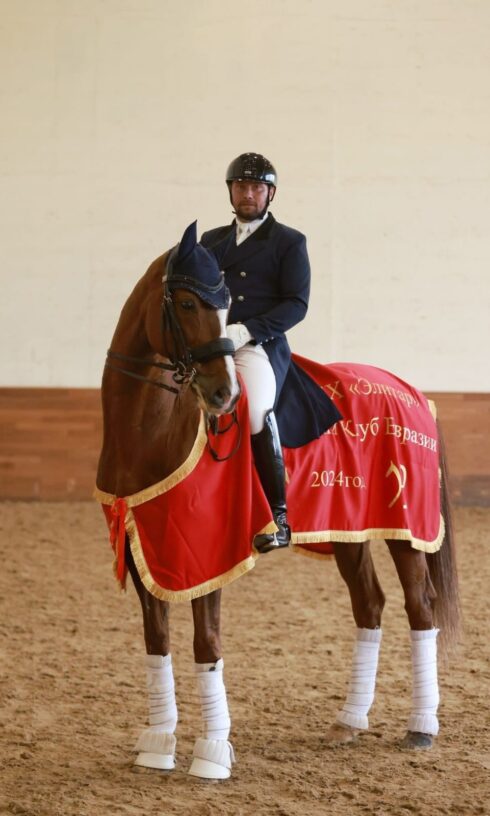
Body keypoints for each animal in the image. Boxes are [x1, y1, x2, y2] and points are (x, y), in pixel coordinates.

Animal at [95, 222, 460, 780]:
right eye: (185, 302)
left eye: (227, 304)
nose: (223, 395)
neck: (149, 431)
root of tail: (414, 393)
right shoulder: (145, 547)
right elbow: (156, 642)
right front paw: (157, 744)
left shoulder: (207, 551)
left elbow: (206, 643)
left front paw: (212, 752)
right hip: (348, 531)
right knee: (369, 605)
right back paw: (349, 722)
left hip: (407, 532)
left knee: (420, 609)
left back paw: (421, 727)